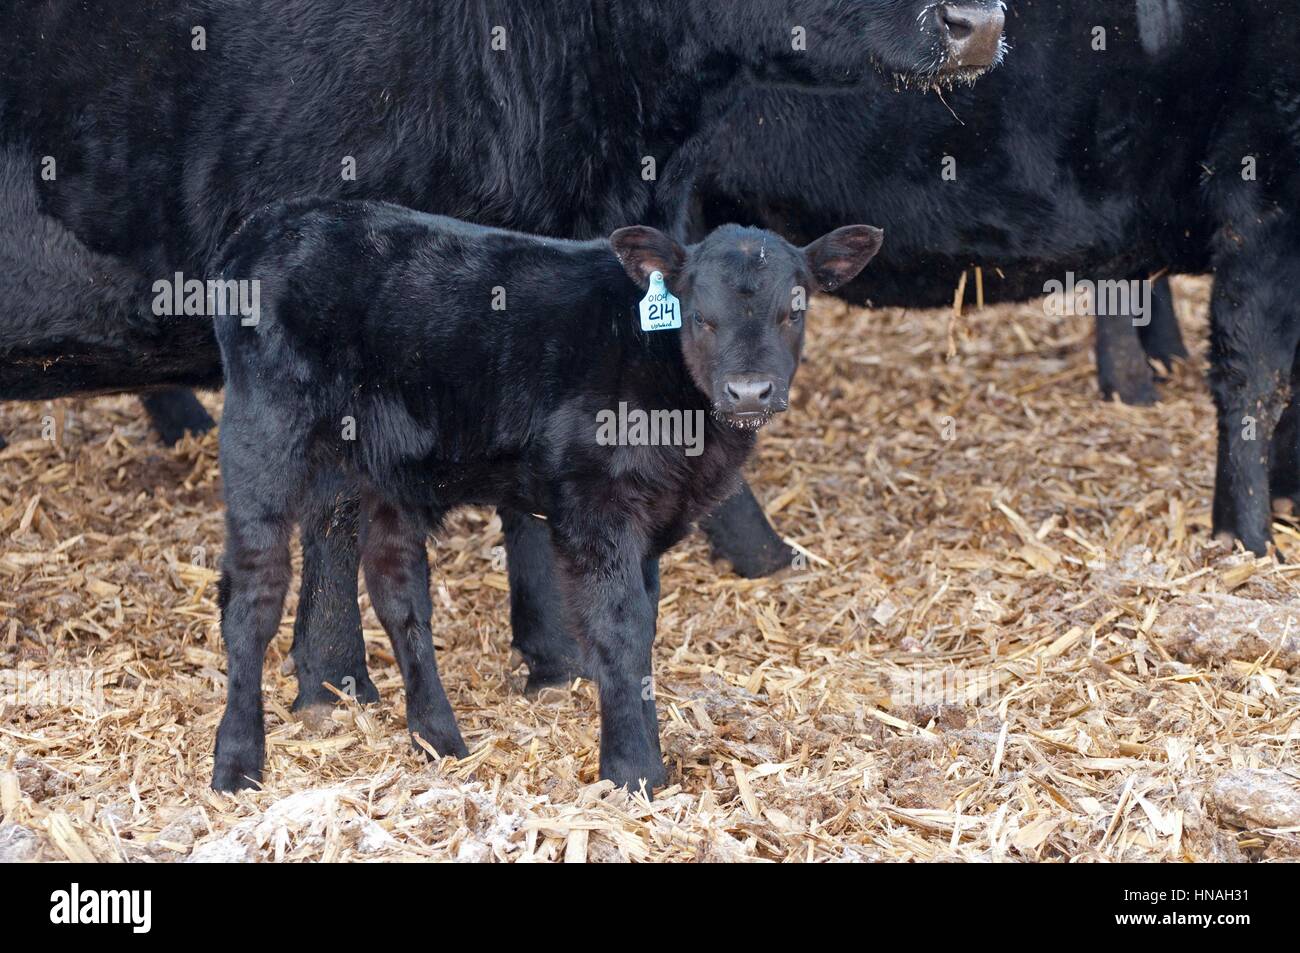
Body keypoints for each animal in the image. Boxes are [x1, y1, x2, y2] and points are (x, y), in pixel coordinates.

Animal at [213, 202, 883, 795]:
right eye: (698, 315)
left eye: (793, 309)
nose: (749, 391)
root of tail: (268, 222)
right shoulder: (595, 506)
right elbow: (618, 630)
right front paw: (634, 772)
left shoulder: (650, 518)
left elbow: (645, 625)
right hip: (262, 433)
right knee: (253, 595)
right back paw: (237, 764)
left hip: (385, 467)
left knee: (396, 588)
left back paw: (439, 738)